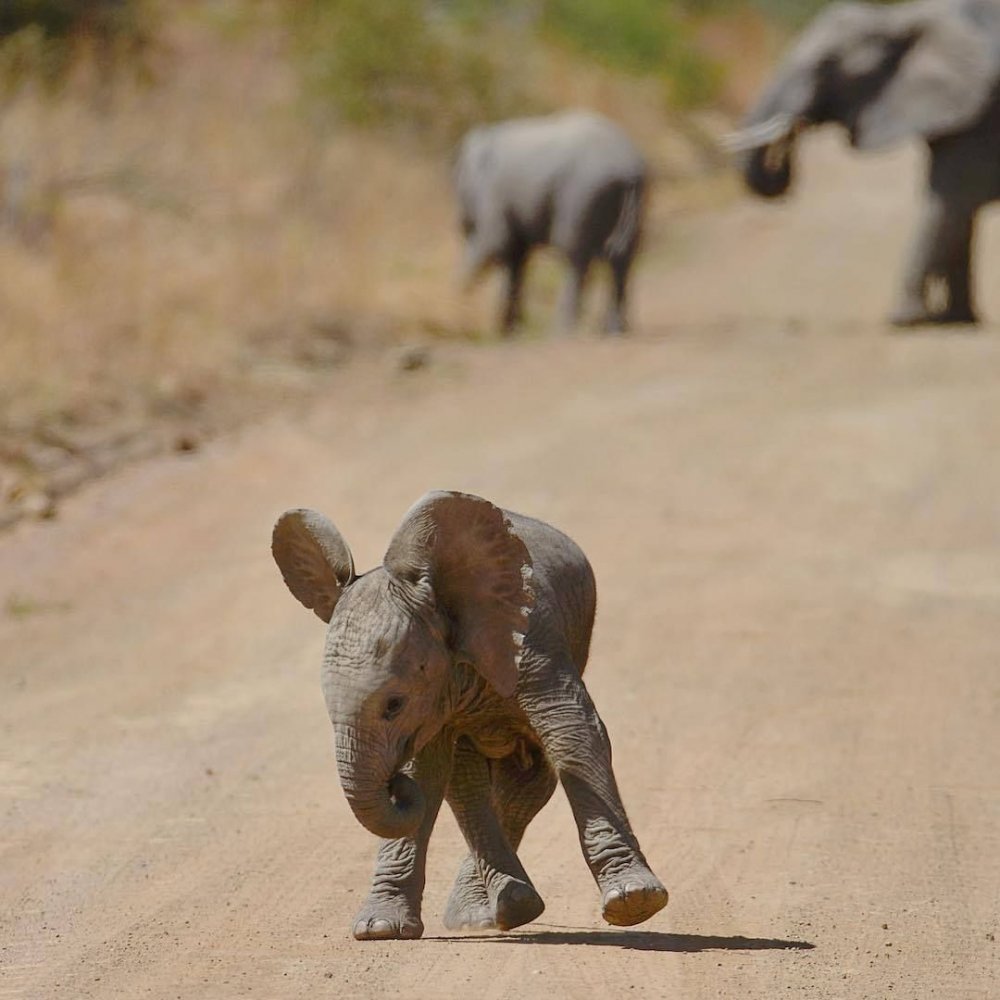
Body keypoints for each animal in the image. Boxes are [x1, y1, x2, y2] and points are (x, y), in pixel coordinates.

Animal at [270, 490, 668, 936]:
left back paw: (498, 911)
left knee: (527, 779)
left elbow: (573, 732)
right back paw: (497, 912)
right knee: (467, 780)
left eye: (394, 704)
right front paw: (379, 930)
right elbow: (428, 771)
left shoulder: (534, 640)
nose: (393, 784)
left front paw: (634, 901)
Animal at [456, 109, 648, 336]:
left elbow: (496, 243)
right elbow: (516, 256)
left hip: (582, 194)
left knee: (575, 255)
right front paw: (512, 330)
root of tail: (629, 167)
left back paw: (564, 330)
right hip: (633, 199)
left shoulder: (493, 192)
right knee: (622, 257)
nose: (463, 223)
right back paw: (614, 331)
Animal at [728, 0, 1000, 326]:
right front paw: (957, 320)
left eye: (824, 66)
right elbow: (959, 217)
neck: (898, 18)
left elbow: (947, 206)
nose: (792, 129)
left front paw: (905, 322)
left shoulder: (981, 115)